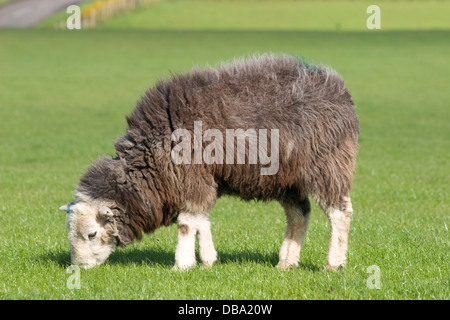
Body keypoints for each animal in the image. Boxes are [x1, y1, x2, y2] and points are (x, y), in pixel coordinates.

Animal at [59, 53, 360, 270]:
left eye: (91, 234)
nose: (78, 268)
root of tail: (339, 90)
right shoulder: (204, 178)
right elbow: (201, 219)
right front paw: (207, 259)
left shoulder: (192, 175)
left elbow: (186, 223)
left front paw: (182, 265)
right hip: (288, 179)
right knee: (299, 214)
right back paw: (286, 262)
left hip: (328, 165)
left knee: (340, 213)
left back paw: (333, 264)